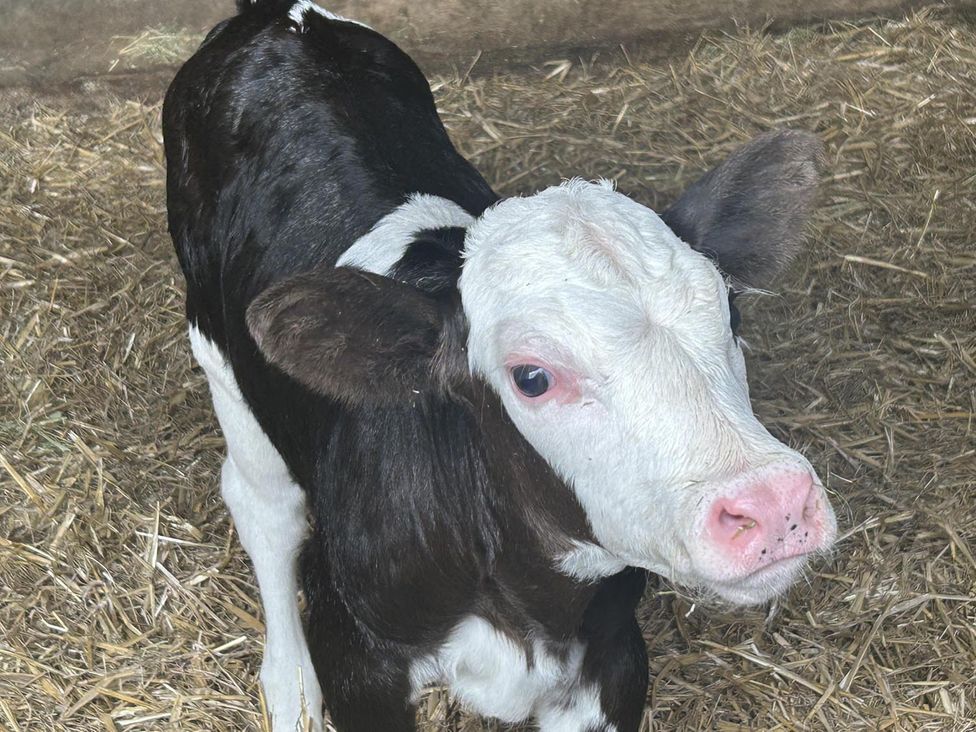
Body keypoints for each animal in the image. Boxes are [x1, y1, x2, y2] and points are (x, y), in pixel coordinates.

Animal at [162, 1, 838, 730]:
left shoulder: (614, 659)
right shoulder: (357, 655)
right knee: (265, 505)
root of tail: (276, 19)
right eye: (531, 378)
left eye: (731, 316)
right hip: (221, 362)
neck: (526, 608)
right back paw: (288, 687)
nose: (773, 504)